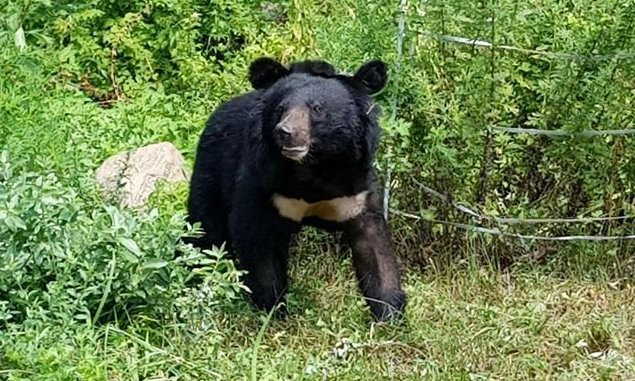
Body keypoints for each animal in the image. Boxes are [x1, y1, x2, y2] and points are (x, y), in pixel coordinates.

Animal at [184, 56, 404, 320]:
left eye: (317, 108)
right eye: (280, 109)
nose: (285, 133)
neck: (315, 168)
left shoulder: (356, 188)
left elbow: (374, 246)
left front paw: (389, 312)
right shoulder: (264, 182)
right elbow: (259, 240)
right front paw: (272, 309)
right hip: (212, 170)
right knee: (205, 229)